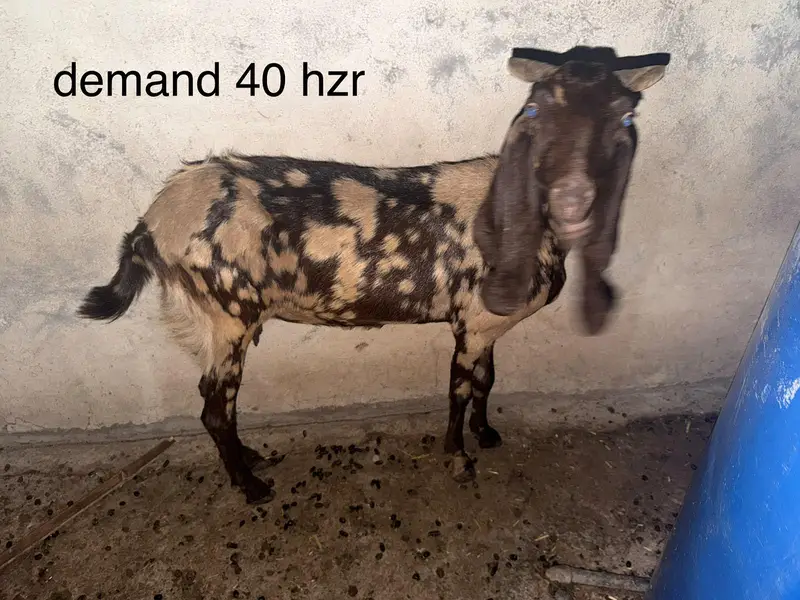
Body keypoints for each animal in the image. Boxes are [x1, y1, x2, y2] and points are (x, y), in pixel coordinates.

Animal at [77, 47, 667, 505]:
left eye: (624, 115)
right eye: (537, 109)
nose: (573, 198)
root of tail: (151, 224)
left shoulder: (484, 323)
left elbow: (487, 381)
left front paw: (487, 434)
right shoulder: (472, 322)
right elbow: (458, 389)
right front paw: (458, 458)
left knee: (214, 402)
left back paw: (252, 459)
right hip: (228, 311)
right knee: (215, 407)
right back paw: (251, 486)